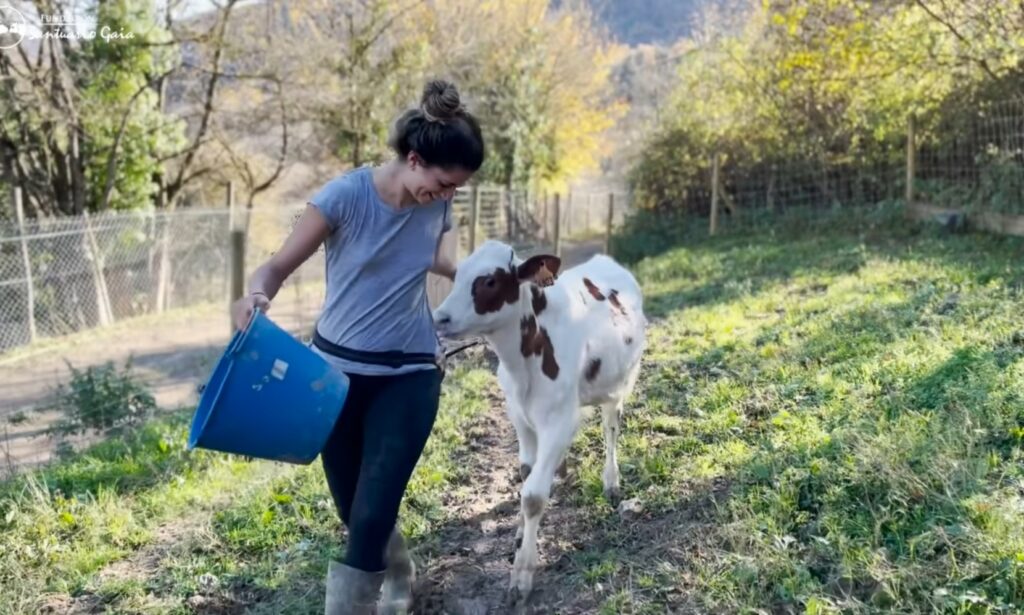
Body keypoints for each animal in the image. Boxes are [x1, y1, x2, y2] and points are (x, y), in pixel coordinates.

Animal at [432, 238, 647, 593]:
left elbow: (532, 496)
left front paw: (522, 573)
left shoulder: (558, 421)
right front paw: (520, 535)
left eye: (489, 281)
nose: (441, 318)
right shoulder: (519, 414)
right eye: (457, 275)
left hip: (619, 385)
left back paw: (611, 481)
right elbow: (526, 472)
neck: (523, 364)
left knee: (610, 429)